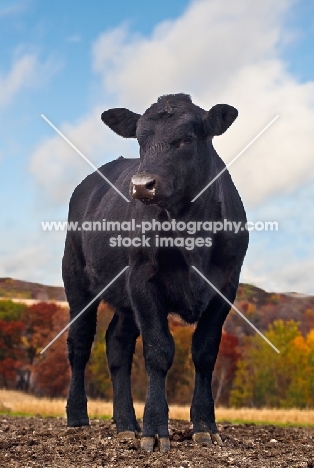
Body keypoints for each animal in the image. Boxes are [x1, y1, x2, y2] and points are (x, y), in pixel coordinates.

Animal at [63, 93, 249, 452]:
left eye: (186, 140)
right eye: (140, 140)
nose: (141, 186)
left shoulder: (226, 287)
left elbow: (205, 352)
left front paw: (205, 426)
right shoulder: (142, 278)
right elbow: (159, 351)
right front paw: (154, 429)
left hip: (124, 300)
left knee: (117, 344)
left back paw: (126, 425)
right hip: (76, 277)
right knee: (80, 342)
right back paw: (78, 417)